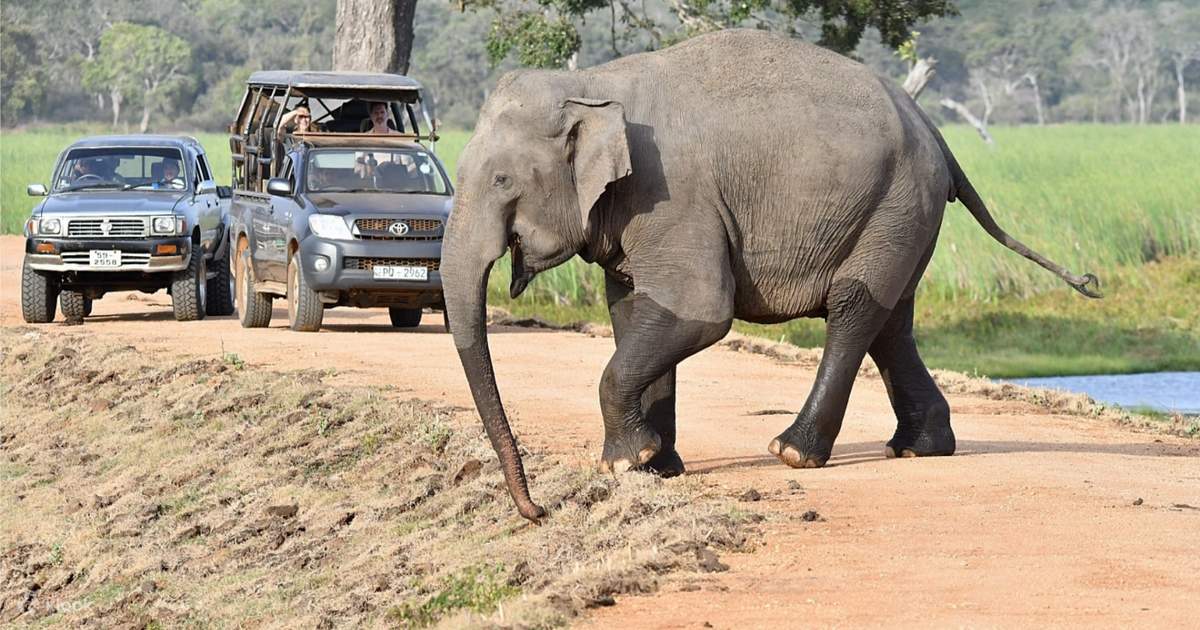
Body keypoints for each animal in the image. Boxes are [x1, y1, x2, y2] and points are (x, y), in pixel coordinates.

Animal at [439, 28, 1099, 520]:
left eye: (501, 180)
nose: (537, 511)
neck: (591, 86)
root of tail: (934, 130)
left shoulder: (672, 196)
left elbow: (701, 311)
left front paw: (627, 463)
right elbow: (634, 312)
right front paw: (656, 466)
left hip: (896, 200)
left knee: (854, 307)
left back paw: (793, 452)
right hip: (902, 215)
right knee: (892, 320)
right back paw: (921, 449)